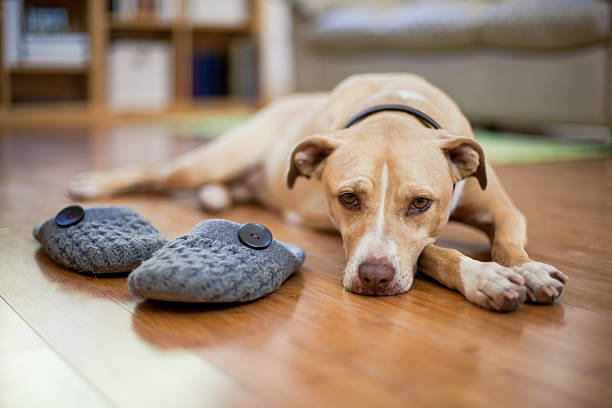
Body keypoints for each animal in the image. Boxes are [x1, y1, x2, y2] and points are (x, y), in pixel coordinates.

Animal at [68, 73, 568, 312]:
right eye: (348, 199)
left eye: (421, 203)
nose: (374, 278)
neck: (394, 108)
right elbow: (434, 252)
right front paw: (485, 277)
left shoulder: (503, 208)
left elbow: (508, 242)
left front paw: (529, 271)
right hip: (208, 161)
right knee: (160, 171)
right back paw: (94, 182)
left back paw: (215, 198)